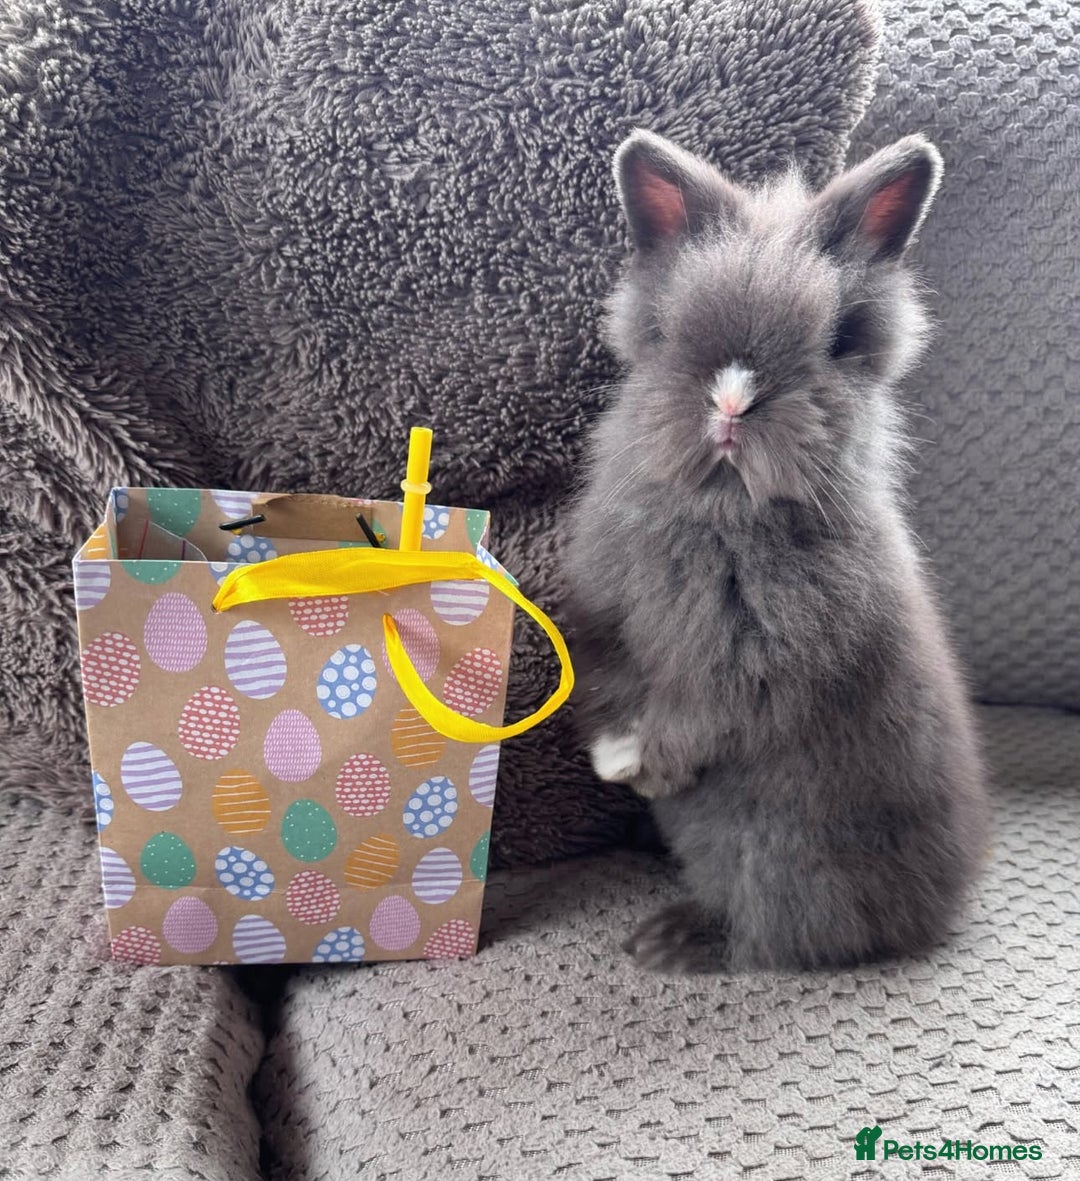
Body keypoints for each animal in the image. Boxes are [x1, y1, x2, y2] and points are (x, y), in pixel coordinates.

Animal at [563, 130, 991, 973]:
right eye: (668, 330)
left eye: (838, 340)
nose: (733, 401)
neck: (724, 517)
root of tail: (931, 908)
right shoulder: (613, 624)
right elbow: (612, 685)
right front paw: (611, 756)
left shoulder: (756, 662)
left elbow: (699, 716)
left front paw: (639, 768)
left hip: (778, 850)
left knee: (791, 931)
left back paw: (670, 940)